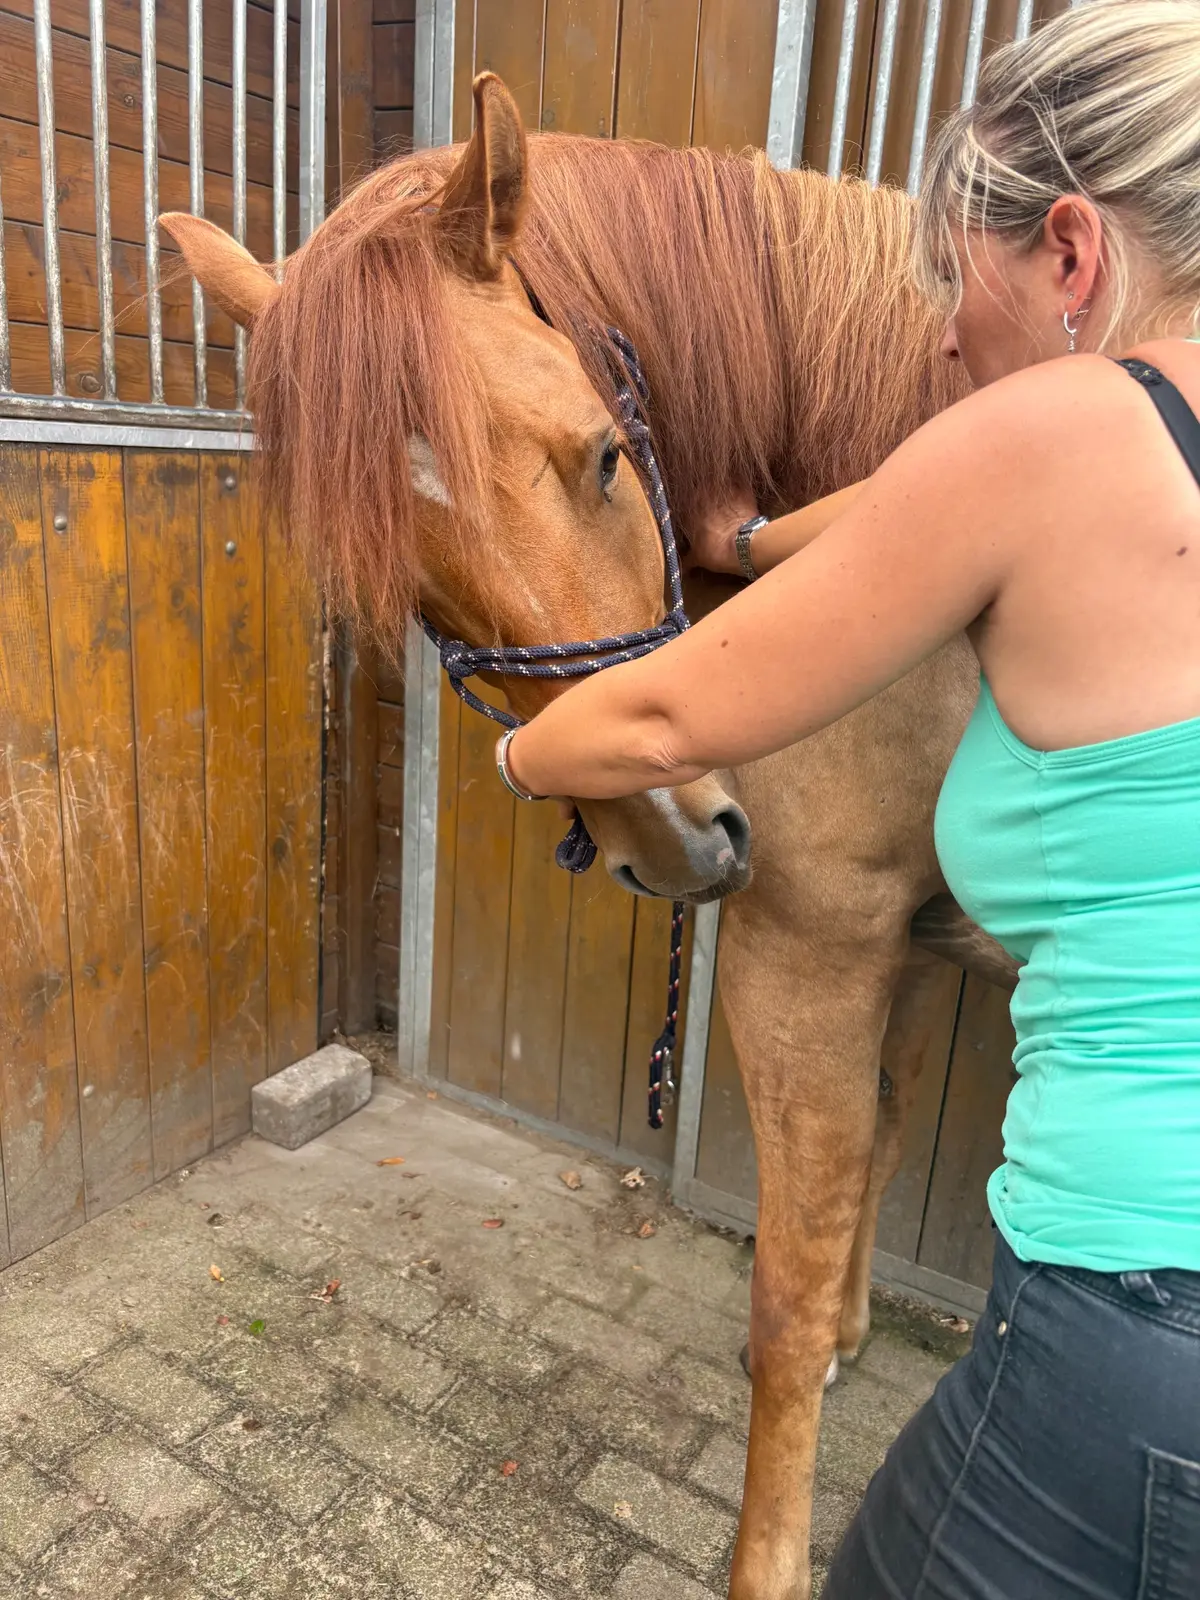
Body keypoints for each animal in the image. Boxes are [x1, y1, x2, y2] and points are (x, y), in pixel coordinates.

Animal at [162, 73, 1019, 1600]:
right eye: (413, 580)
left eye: (608, 453)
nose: (681, 841)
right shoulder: (902, 945)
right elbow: (873, 1149)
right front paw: (856, 1337)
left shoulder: (818, 950)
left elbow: (786, 1294)